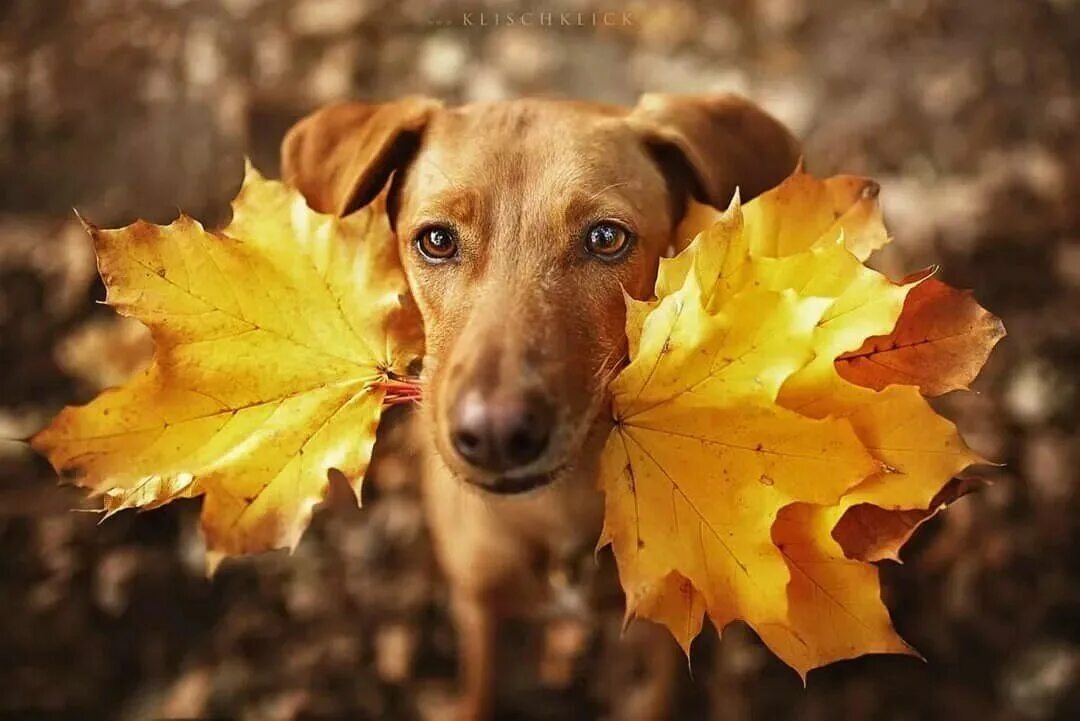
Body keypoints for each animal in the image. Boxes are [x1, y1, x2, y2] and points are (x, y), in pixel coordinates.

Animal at [282, 95, 799, 721]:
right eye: (436, 240)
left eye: (606, 238)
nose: (496, 435)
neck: (557, 514)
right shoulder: (478, 607)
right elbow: (479, 692)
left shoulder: (661, 623)